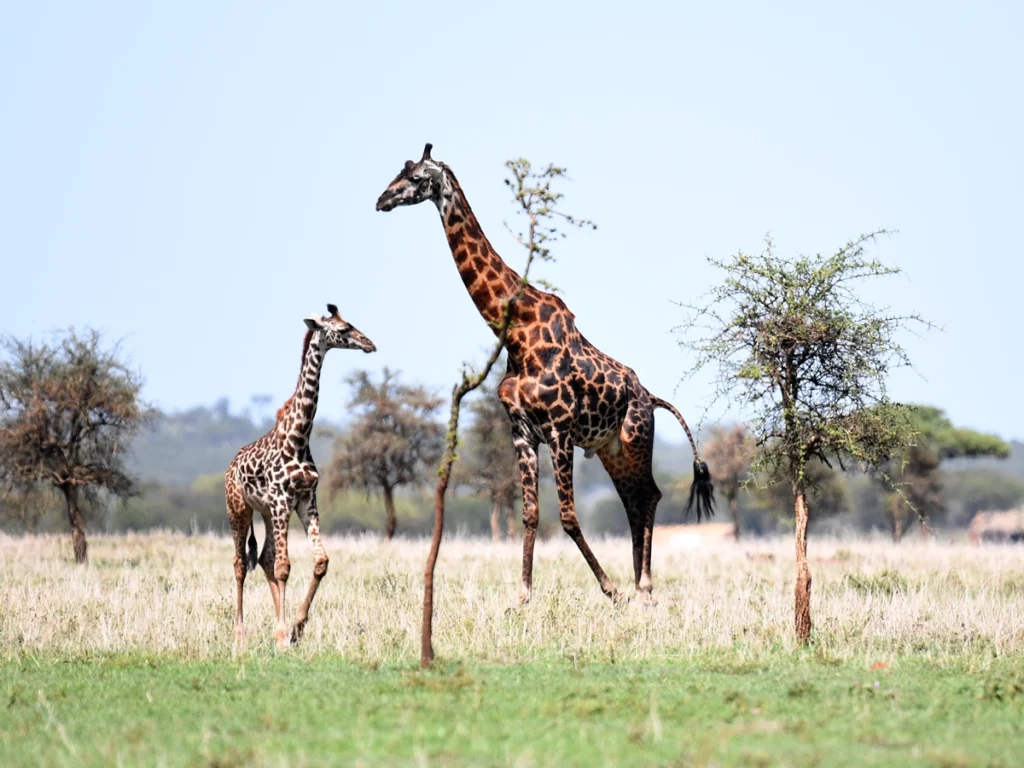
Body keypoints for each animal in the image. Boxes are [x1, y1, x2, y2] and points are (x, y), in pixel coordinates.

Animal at [225, 304, 376, 647]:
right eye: (343, 329)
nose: (370, 344)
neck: (299, 438)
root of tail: (230, 466)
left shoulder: (305, 499)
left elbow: (319, 561)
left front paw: (294, 628)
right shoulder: (283, 499)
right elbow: (284, 567)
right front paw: (284, 635)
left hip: (267, 513)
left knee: (264, 558)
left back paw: (274, 627)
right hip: (239, 509)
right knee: (240, 564)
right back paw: (239, 635)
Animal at [376, 144, 713, 604]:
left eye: (414, 178)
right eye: (400, 170)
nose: (381, 200)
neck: (517, 333)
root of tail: (650, 396)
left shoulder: (558, 430)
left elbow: (568, 516)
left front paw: (610, 589)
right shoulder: (521, 432)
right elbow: (531, 514)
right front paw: (522, 596)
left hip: (635, 436)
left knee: (651, 494)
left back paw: (642, 585)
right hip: (609, 449)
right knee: (633, 500)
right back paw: (638, 581)